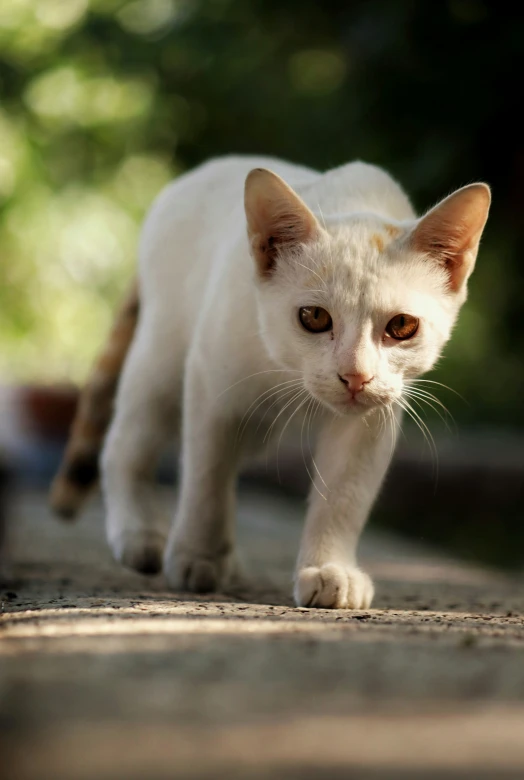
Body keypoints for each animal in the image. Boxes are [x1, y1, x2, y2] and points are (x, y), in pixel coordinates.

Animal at [55, 157, 490, 608]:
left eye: (402, 325)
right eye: (314, 317)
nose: (355, 375)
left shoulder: (371, 418)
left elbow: (345, 494)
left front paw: (328, 568)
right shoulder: (212, 384)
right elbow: (207, 476)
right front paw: (198, 555)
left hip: (255, 427)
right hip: (161, 360)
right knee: (125, 443)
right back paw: (139, 533)